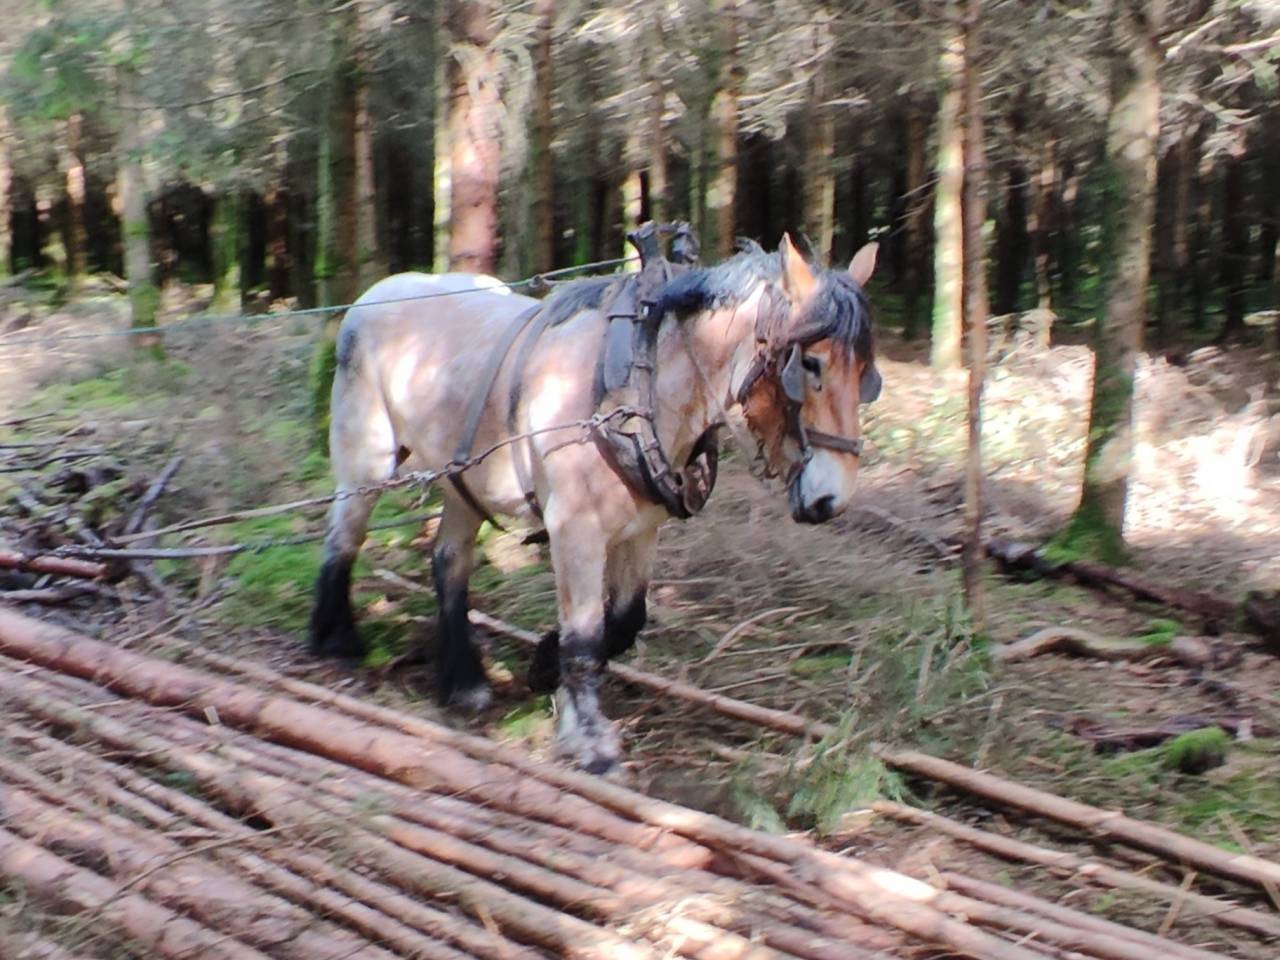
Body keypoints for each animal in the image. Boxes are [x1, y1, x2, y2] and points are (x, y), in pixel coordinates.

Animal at [309, 234, 882, 774]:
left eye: (865, 375)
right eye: (811, 364)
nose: (831, 499)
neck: (637, 384)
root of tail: (379, 292)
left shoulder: (642, 529)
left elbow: (625, 619)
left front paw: (545, 665)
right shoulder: (574, 529)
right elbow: (584, 637)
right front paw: (589, 742)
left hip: (462, 477)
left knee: (449, 562)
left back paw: (464, 682)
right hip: (367, 459)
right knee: (344, 536)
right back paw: (336, 641)